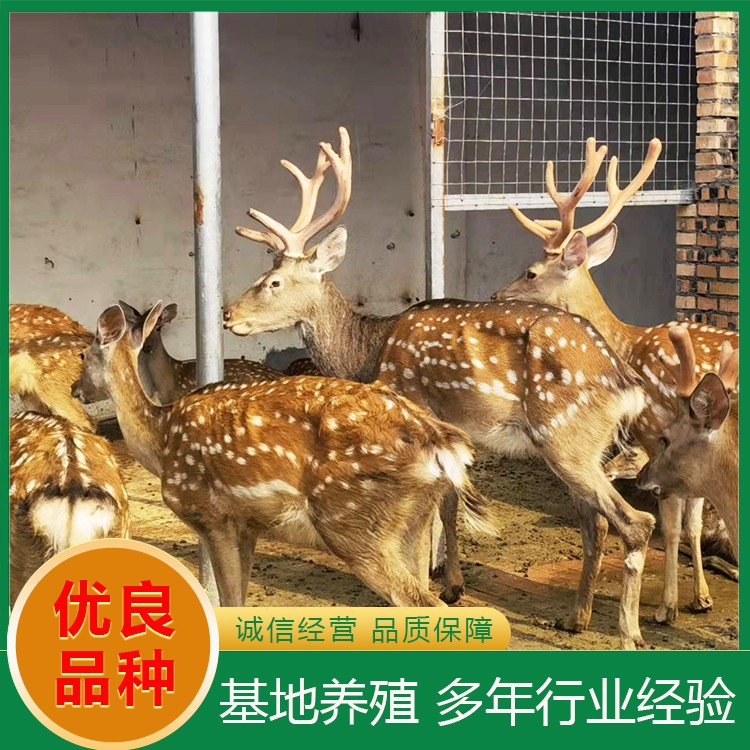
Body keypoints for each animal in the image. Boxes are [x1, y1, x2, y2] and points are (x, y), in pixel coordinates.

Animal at [72, 302, 496, 608]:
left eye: (83, 355)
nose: (76, 390)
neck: (160, 440)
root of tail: (439, 440)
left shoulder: (214, 516)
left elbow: (230, 603)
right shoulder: (248, 526)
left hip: (354, 523)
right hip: (411, 523)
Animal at [222, 126, 659, 649]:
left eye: (272, 281)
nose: (227, 314)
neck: (368, 354)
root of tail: (624, 380)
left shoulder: (415, 411)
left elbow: (435, 508)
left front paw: (434, 582)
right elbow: (448, 504)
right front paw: (450, 584)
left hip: (566, 436)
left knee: (635, 523)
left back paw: (629, 632)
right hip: (585, 446)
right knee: (597, 522)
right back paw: (576, 618)